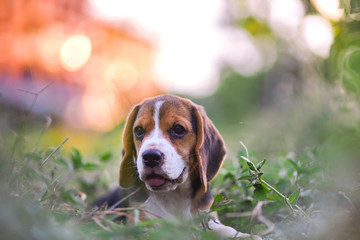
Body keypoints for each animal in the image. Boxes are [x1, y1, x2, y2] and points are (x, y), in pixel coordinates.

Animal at [120, 95, 258, 238]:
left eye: (178, 129)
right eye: (139, 131)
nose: (151, 156)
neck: (174, 195)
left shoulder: (206, 215)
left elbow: (222, 229)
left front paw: (244, 236)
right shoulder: (140, 219)